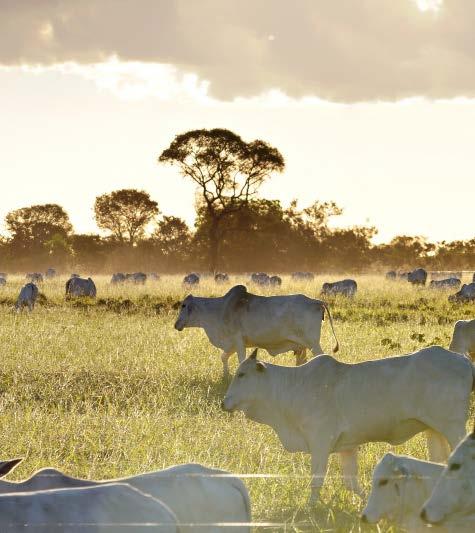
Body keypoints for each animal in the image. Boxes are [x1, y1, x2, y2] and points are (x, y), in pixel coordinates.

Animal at [174, 284, 338, 376]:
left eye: (183, 305)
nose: (176, 325)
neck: (219, 310)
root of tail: (317, 302)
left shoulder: (238, 340)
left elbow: (240, 360)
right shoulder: (232, 344)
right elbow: (223, 357)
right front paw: (225, 376)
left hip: (313, 343)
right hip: (302, 346)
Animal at [224, 344, 475, 502]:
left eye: (242, 374)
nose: (224, 402)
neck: (294, 386)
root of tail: (465, 361)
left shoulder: (320, 441)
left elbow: (317, 480)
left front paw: (310, 509)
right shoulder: (348, 447)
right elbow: (351, 483)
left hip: (453, 427)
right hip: (434, 430)